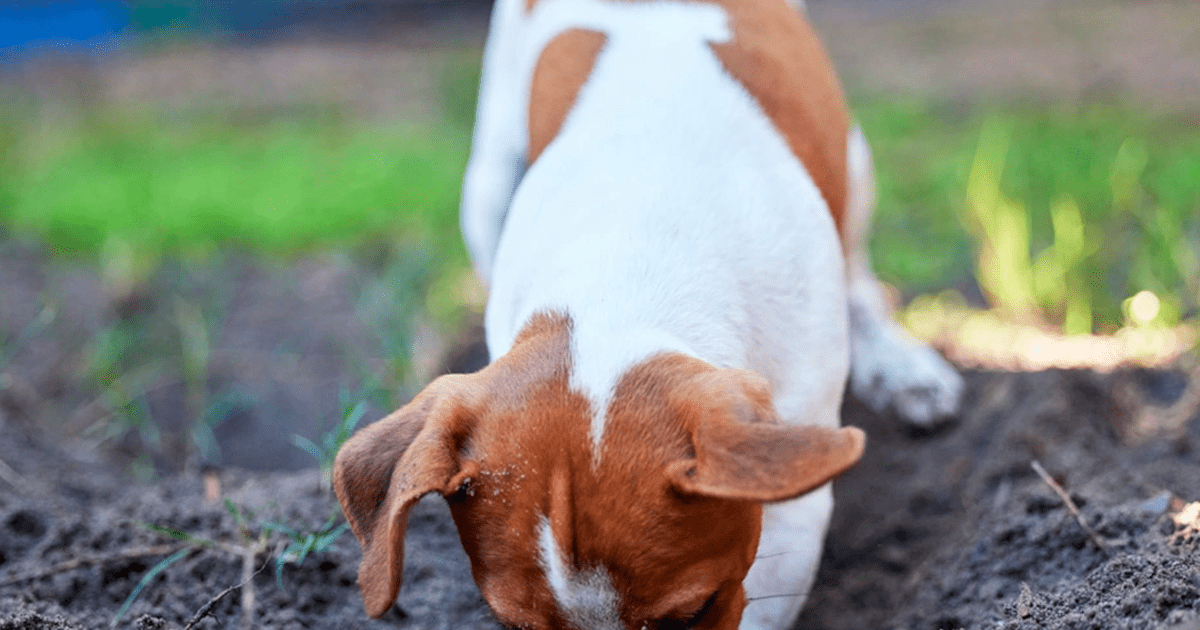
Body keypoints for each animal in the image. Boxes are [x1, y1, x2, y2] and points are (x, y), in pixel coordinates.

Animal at [331, 0, 964, 624]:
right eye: (513, 626)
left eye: (690, 615)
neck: (626, 273)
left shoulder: (793, 506)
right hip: (487, 184)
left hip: (855, 169)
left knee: (860, 273)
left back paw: (901, 366)